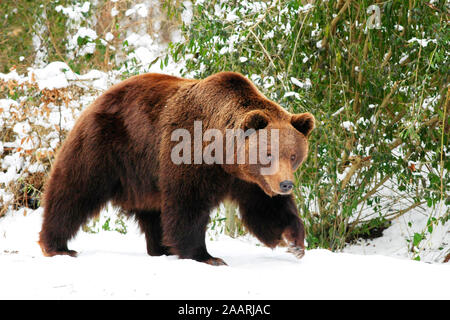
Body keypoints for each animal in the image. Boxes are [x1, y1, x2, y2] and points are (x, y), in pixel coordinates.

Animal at [38, 72, 314, 264]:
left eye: (293, 155)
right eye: (268, 154)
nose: (286, 184)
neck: (223, 156)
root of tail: (100, 97)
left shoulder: (249, 180)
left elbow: (266, 208)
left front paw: (295, 241)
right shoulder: (189, 152)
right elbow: (187, 204)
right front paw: (206, 256)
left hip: (144, 177)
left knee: (152, 213)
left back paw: (160, 248)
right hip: (106, 147)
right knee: (75, 190)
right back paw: (57, 246)